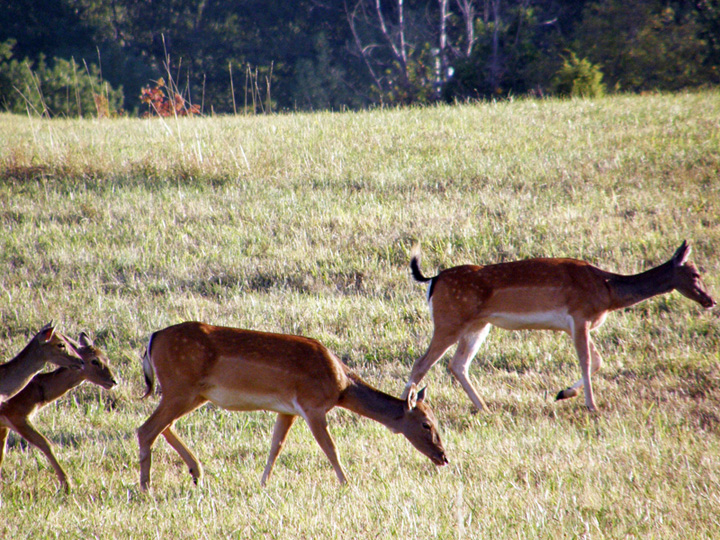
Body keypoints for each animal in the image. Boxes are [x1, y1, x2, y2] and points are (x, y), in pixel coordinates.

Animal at [0, 332, 116, 492]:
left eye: (106, 358)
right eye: (94, 361)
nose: (113, 381)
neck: (38, 390)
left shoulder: (5, 425)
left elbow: (2, 454)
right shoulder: (18, 417)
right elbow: (45, 444)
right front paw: (67, 485)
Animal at [138, 322, 448, 492]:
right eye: (426, 424)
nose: (443, 457)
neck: (341, 386)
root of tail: (152, 339)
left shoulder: (286, 409)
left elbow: (276, 446)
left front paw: (263, 483)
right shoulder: (312, 406)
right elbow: (331, 448)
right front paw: (347, 484)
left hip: (192, 393)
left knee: (163, 426)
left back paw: (196, 473)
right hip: (181, 387)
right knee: (146, 429)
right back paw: (146, 487)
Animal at [404, 238, 716, 412]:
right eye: (696, 273)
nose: (710, 300)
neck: (608, 291)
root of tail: (432, 280)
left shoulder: (579, 323)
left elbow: (598, 360)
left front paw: (565, 393)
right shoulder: (579, 316)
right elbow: (587, 360)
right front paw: (591, 406)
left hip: (478, 326)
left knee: (457, 364)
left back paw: (484, 408)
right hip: (449, 321)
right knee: (422, 362)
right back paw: (406, 406)